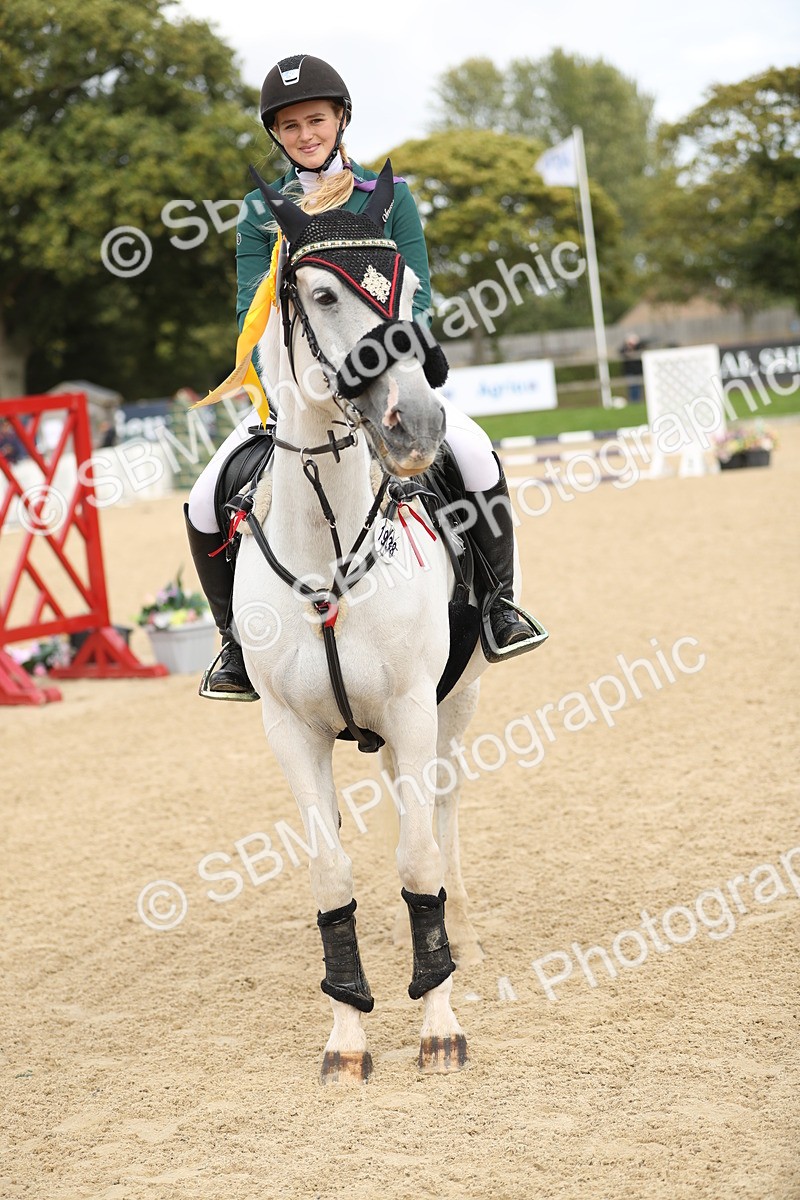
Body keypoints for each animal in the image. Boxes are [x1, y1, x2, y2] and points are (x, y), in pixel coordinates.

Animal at [232, 162, 504, 1082]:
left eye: (409, 287)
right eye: (318, 294)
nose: (414, 424)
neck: (328, 556)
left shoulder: (417, 706)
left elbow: (418, 858)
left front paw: (439, 1024)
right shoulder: (290, 730)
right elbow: (331, 875)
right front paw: (348, 1032)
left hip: (455, 701)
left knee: (442, 820)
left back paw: (465, 950)